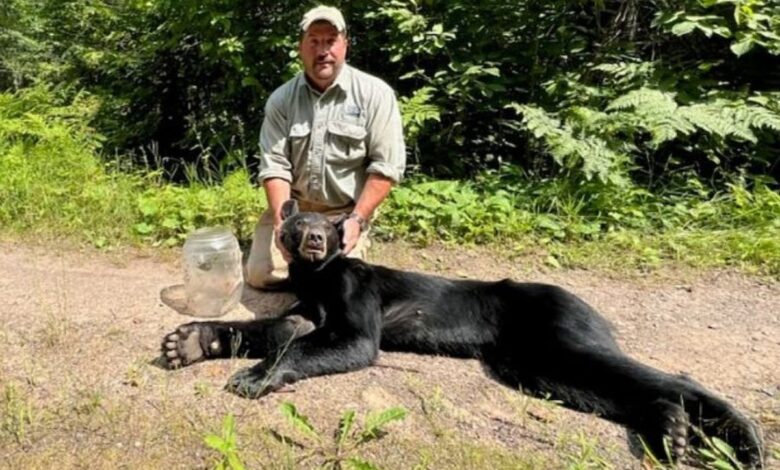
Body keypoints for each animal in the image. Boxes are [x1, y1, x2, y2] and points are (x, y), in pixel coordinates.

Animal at [161, 199, 764, 468]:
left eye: (326, 229)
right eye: (294, 225)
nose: (310, 239)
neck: (319, 277)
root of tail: (584, 301)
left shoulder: (355, 319)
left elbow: (311, 344)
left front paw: (253, 378)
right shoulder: (307, 312)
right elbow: (274, 328)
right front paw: (188, 340)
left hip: (560, 337)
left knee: (670, 377)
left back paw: (732, 440)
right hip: (537, 367)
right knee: (623, 390)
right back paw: (674, 434)